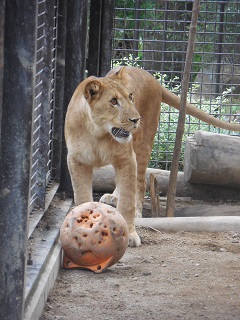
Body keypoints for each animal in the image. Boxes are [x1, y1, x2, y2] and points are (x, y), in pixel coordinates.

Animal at [64, 66, 240, 248]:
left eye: (130, 97)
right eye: (113, 101)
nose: (136, 119)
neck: (98, 133)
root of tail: (152, 78)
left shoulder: (127, 158)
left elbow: (127, 200)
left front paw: (130, 234)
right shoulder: (76, 161)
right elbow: (82, 196)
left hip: (142, 145)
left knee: (140, 184)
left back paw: (137, 211)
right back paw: (113, 197)